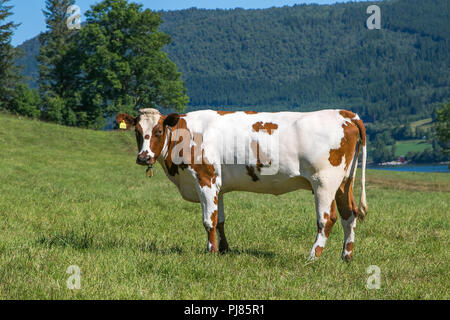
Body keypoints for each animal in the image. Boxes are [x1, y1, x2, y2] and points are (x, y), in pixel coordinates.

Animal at [118, 109, 368, 262]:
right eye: (137, 132)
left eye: (159, 131)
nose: (144, 157)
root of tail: (345, 114)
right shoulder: (218, 185)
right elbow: (220, 220)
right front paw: (224, 250)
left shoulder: (206, 179)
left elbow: (208, 221)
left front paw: (211, 251)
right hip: (344, 182)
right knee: (349, 215)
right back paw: (346, 256)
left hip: (324, 182)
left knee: (327, 219)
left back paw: (313, 256)